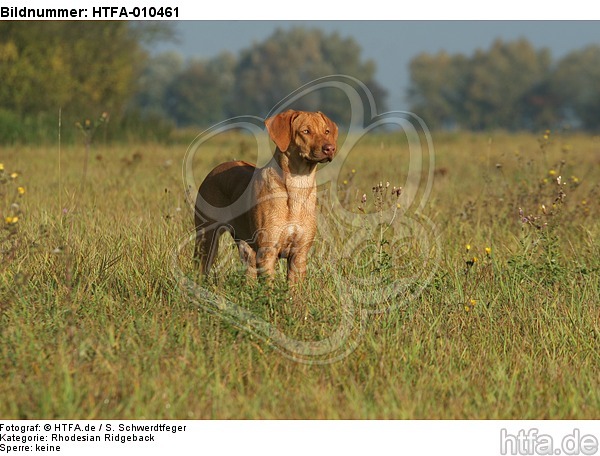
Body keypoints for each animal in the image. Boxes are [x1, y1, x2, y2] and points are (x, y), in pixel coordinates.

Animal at [196, 108, 340, 284]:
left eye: (327, 131)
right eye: (306, 131)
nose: (330, 148)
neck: (297, 185)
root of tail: (215, 170)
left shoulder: (299, 254)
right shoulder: (267, 251)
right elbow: (268, 288)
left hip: (246, 247)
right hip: (206, 239)